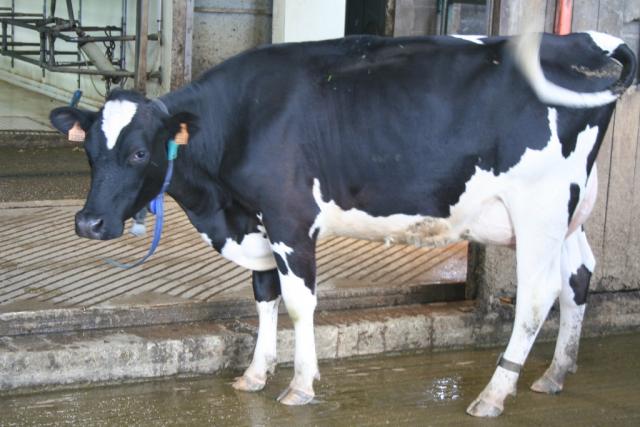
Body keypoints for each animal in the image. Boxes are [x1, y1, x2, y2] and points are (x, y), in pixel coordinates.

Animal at [49, 31, 637, 417]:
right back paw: (555, 374)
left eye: (139, 152)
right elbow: (263, 296)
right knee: (578, 275)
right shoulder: (255, 221)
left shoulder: (289, 219)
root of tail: (588, 42)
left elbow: (298, 302)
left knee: (537, 295)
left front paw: (300, 385)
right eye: (90, 153)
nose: (88, 222)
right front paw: (255, 375)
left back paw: (493, 394)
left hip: (539, 205)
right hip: (571, 211)